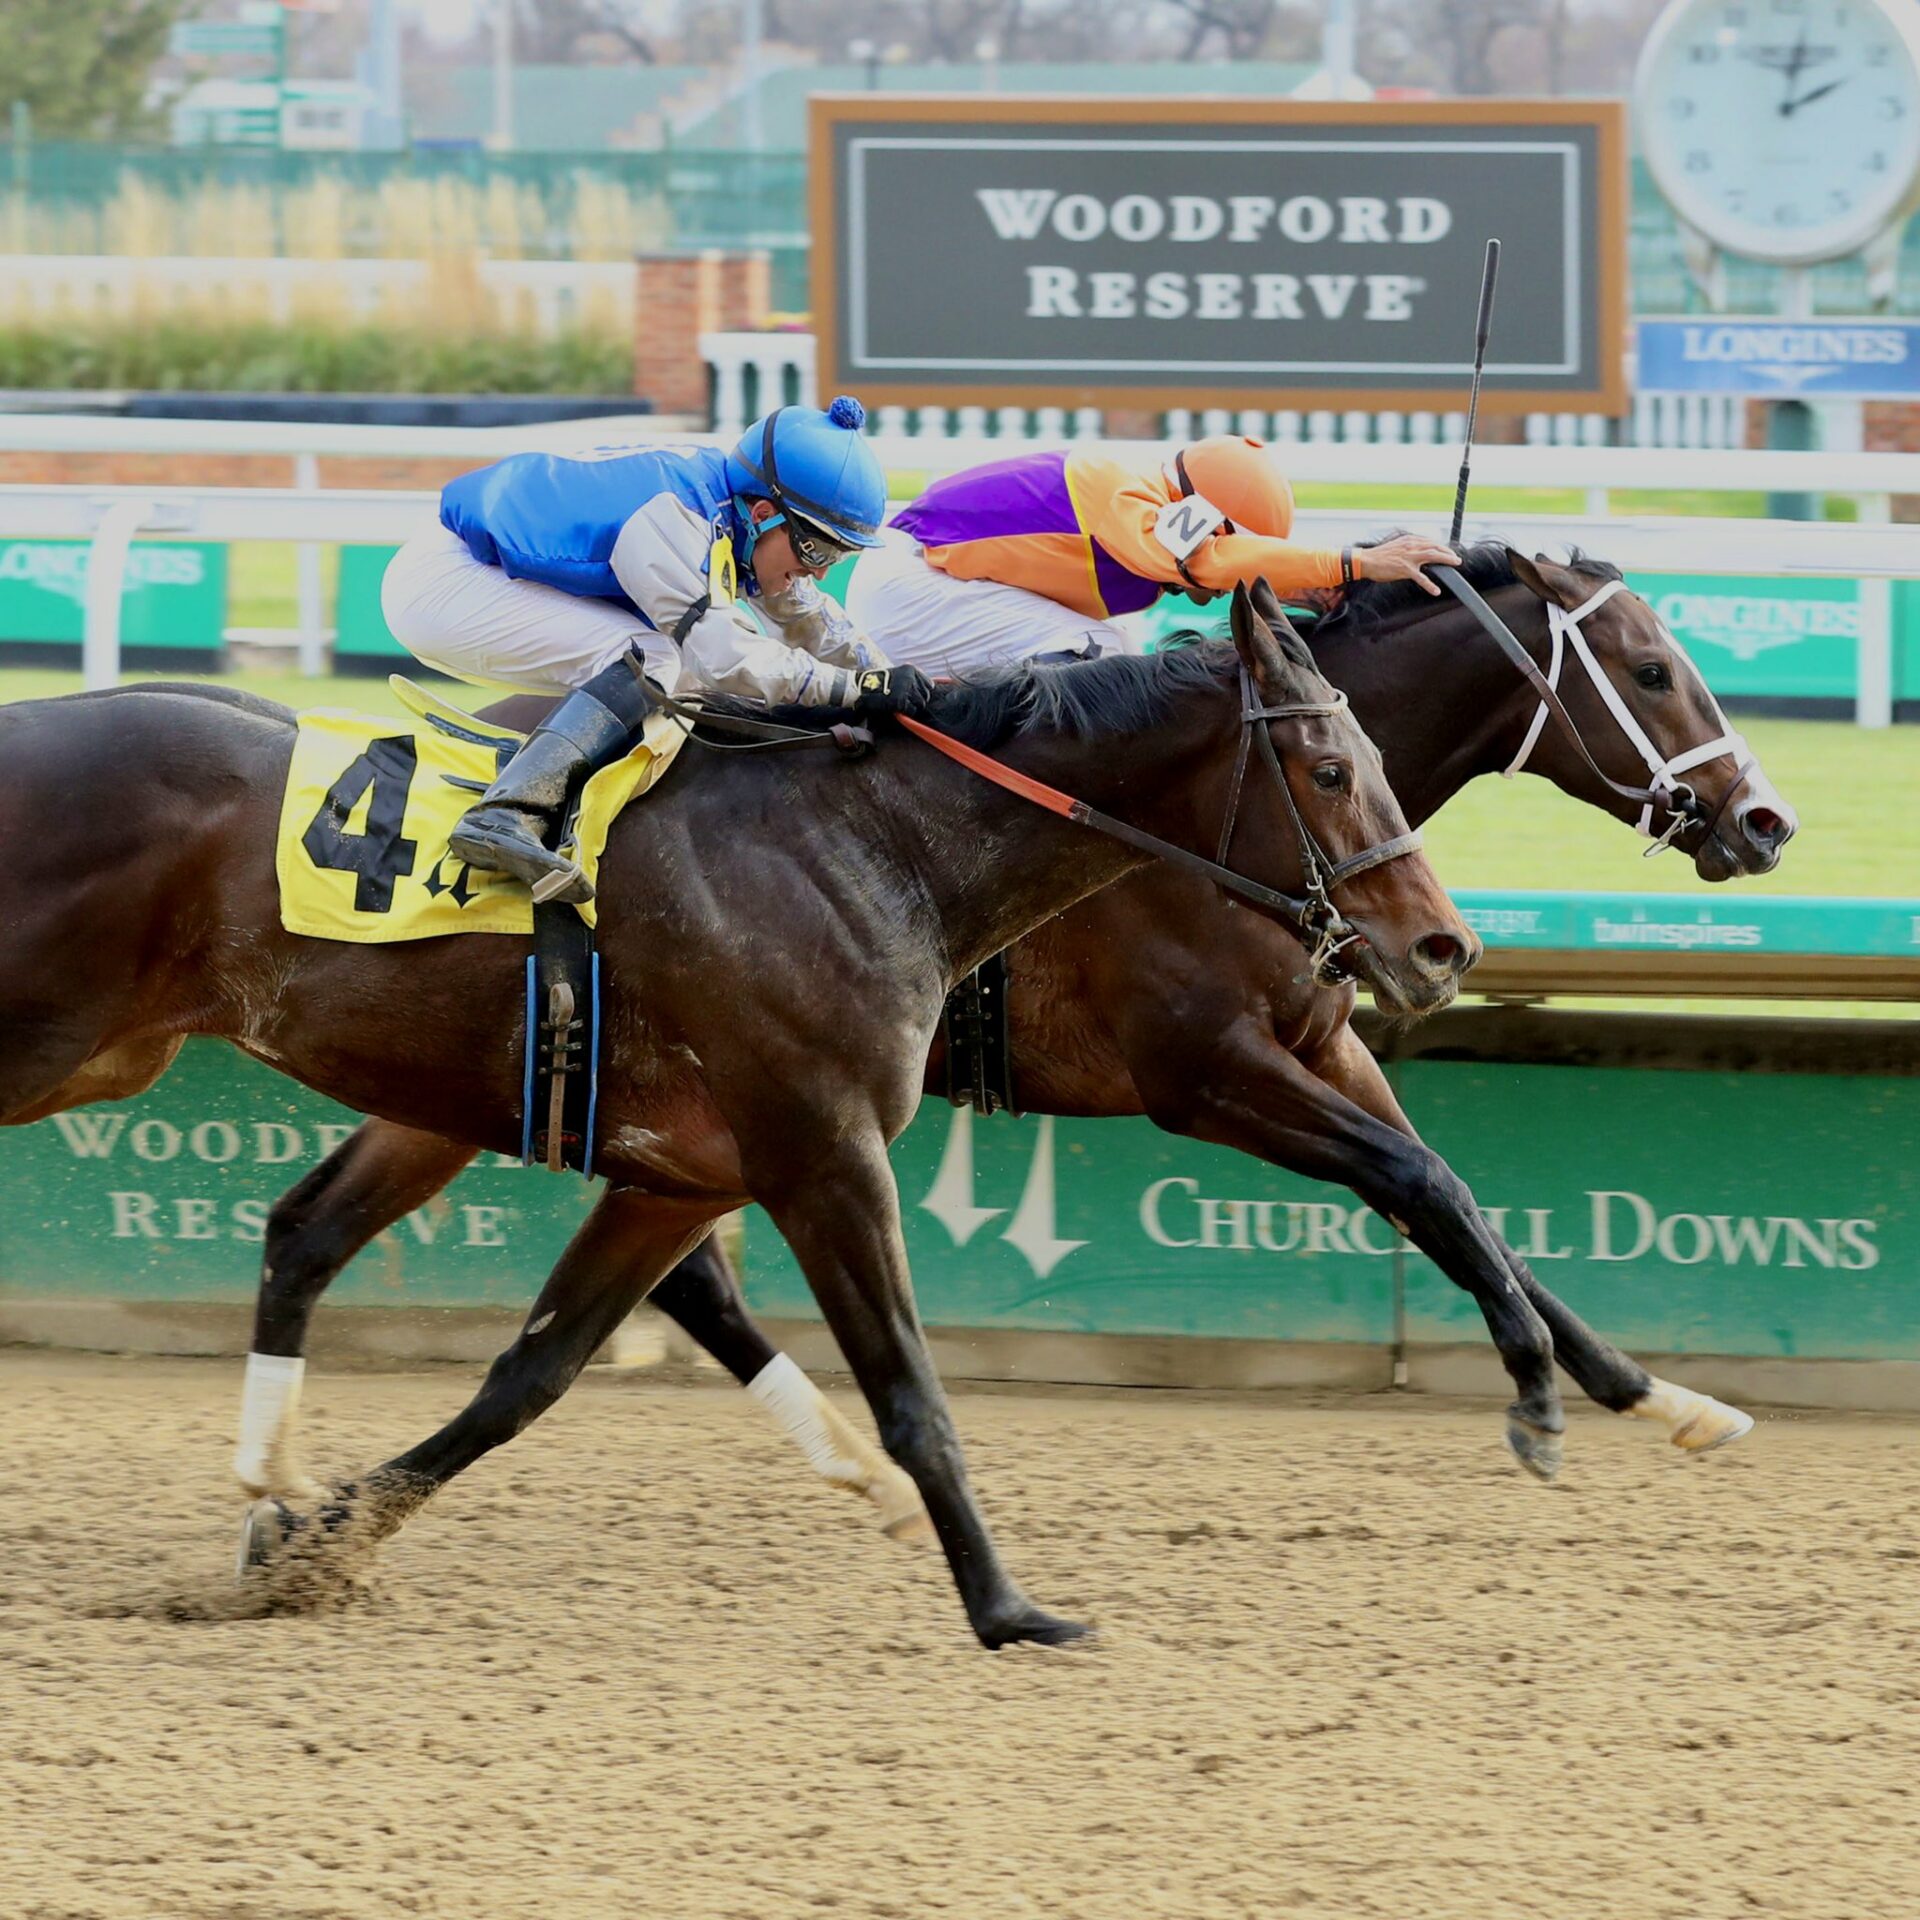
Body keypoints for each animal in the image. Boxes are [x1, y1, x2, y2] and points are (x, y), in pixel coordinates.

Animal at [0, 587, 1467, 1647]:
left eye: (1374, 754)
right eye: (1329, 769)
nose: (1438, 946)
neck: (877, 847)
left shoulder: (686, 1175)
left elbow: (529, 1373)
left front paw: (314, 1541)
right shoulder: (830, 1153)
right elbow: (913, 1393)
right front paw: (1009, 1609)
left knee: (304, 1232)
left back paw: (273, 1491)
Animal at [233, 544, 1794, 1541]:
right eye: (1657, 669)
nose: (1765, 819)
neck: (1196, 823)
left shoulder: (1323, 1042)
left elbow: (1463, 1206)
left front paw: (1657, 1395)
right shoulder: (1202, 1073)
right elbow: (1422, 1188)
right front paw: (1537, 1399)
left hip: (508, 1082)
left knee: (351, 1230)